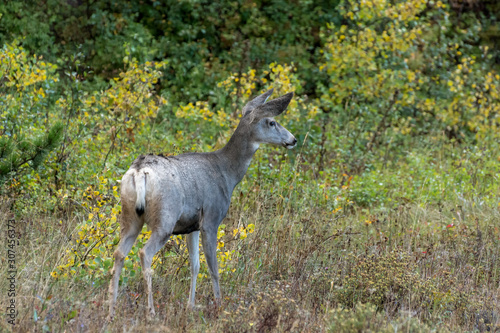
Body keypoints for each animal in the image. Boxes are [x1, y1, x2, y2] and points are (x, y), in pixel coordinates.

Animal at [107, 89, 296, 320]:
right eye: (272, 122)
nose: (293, 139)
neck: (227, 173)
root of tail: (139, 171)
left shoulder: (192, 226)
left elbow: (195, 265)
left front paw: (191, 305)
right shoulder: (211, 219)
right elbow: (213, 267)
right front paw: (219, 305)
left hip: (129, 216)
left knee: (119, 253)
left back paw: (111, 310)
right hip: (165, 218)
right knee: (145, 253)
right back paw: (150, 312)